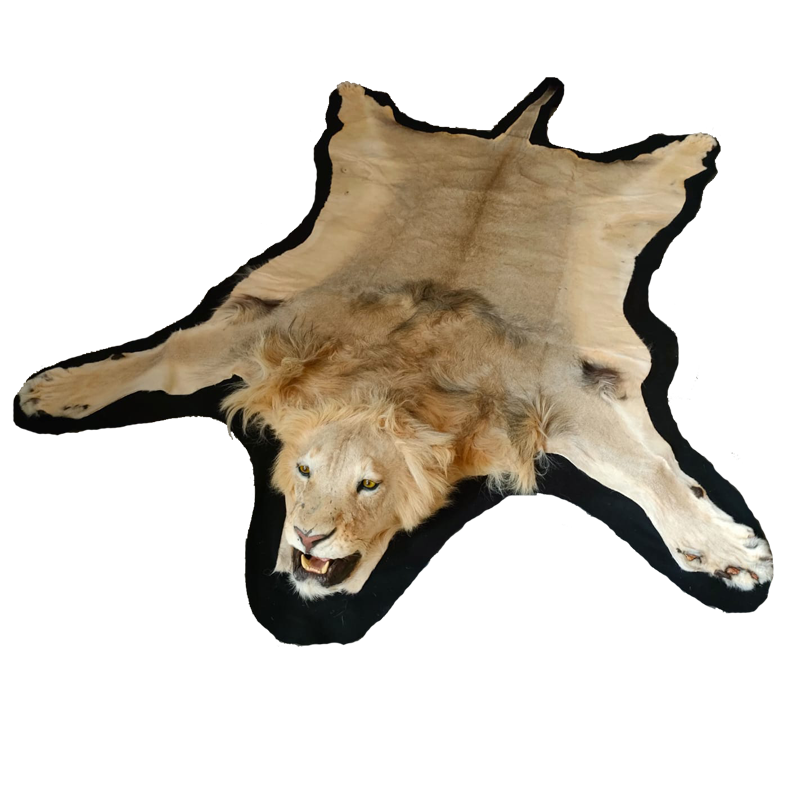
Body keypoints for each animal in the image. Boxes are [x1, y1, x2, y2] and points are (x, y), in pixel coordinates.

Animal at [18, 81, 773, 601]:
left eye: (369, 484)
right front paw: (56, 391)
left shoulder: (558, 390)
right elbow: (171, 359)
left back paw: (695, 143)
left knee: (652, 170)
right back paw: (356, 95)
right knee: (371, 125)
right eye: (301, 471)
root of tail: (506, 142)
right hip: (377, 149)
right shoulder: (271, 331)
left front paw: (723, 549)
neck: (390, 387)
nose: (309, 536)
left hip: (633, 192)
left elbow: (647, 472)